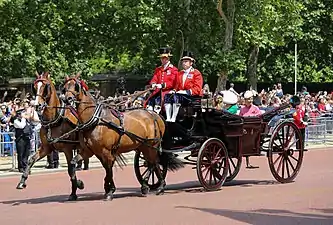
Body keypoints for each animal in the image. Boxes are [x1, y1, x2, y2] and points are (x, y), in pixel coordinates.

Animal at [16, 71, 92, 200]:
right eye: (35, 87)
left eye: (45, 87)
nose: (37, 105)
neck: (55, 119)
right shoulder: (46, 148)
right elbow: (31, 159)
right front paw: (22, 181)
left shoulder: (67, 149)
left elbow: (70, 169)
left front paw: (76, 188)